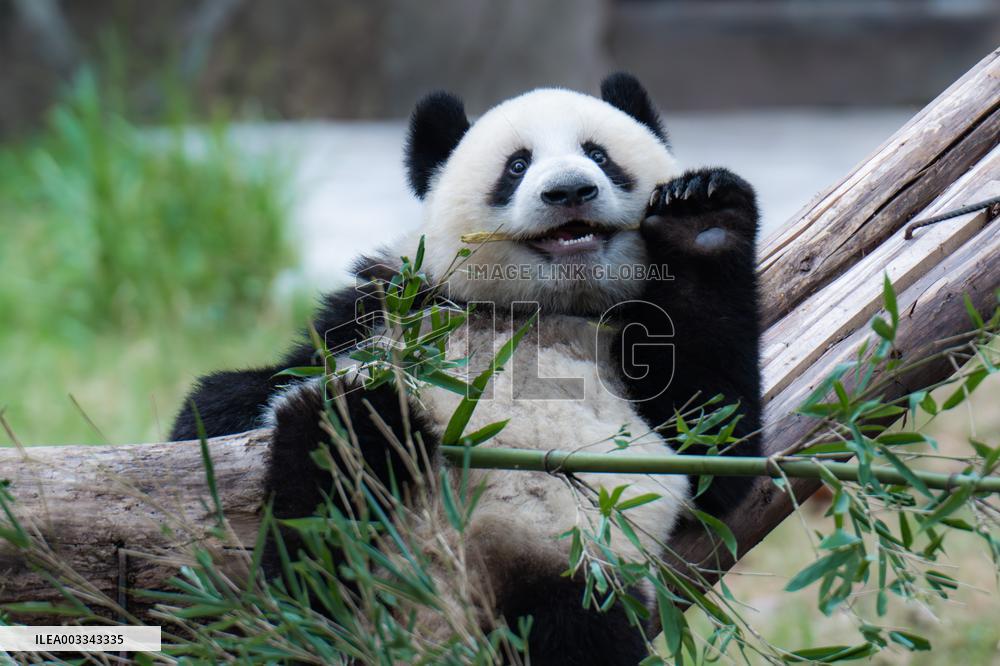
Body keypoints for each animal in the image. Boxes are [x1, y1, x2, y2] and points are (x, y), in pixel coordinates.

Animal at [170, 73, 761, 665]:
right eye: (517, 165)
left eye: (598, 154)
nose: (570, 190)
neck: (541, 308)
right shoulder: (396, 303)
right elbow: (255, 387)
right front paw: (223, 412)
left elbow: (716, 441)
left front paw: (702, 218)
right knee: (337, 457)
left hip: (573, 575)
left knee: (576, 628)